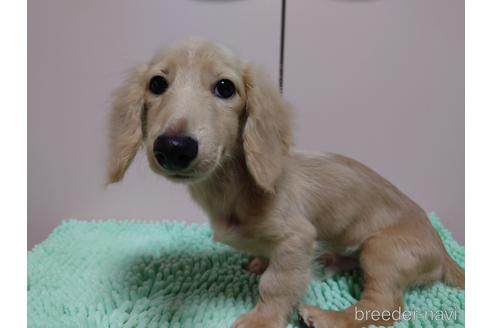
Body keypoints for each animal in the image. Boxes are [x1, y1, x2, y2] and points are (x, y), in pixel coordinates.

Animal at [107, 39, 466, 328]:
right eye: (157, 84)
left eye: (225, 87)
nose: (174, 147)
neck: (236, 186)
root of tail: (442, 250)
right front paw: (258, 261)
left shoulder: (296, 238)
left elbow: (276, 284)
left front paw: (261, 320)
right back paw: (331, 261)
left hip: (383, 250)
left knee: (383, 306)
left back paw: (328, 318)